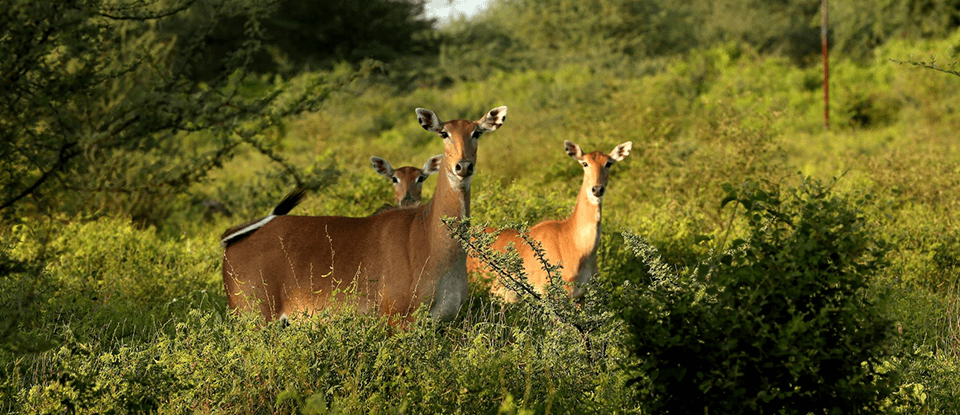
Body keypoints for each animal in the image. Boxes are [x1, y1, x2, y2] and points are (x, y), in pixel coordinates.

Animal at [220, 105, 506, 324]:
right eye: (444, 133)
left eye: (477, 132)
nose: (463, 166)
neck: (430, 237)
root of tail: (230, 240)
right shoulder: (398, 318)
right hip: (255, 317)